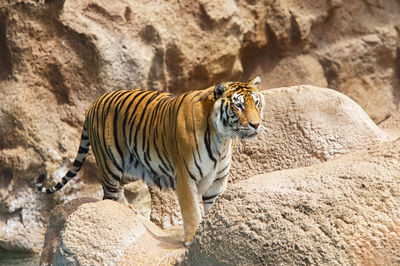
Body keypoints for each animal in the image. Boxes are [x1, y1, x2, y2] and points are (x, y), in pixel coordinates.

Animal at [36, 76, 264, 246]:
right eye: (238, 106)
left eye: (256, 103)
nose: (256, 125)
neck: (222, 139)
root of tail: (93, 103)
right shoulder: (185, 177)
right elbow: (192, 211)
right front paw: (192, 240)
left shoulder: (217, 181)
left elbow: (212, 209)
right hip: (110, 165)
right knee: (108, 196)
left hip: (130, 168)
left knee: (119, 190)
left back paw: (130, 211)